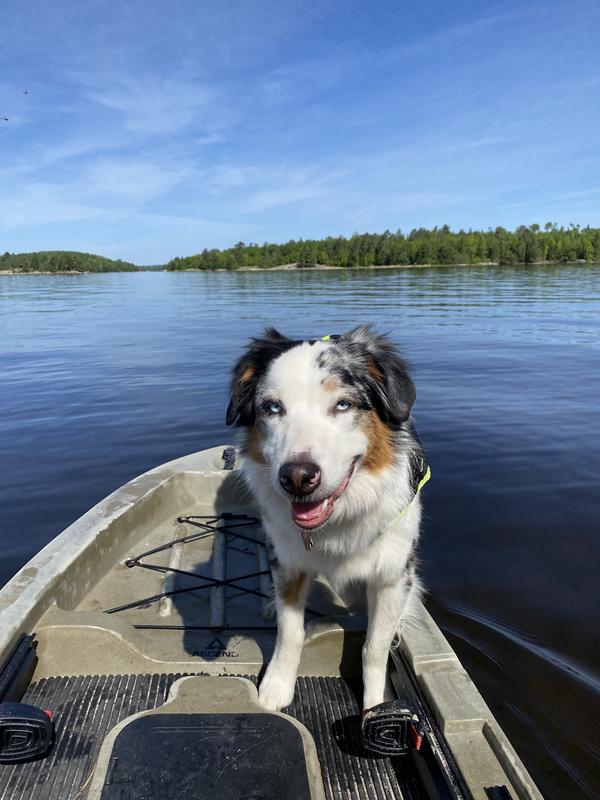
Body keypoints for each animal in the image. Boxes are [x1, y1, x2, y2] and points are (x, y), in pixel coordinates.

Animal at [225, 324, 426, 712]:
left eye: (343, 404)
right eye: (272, 408)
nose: (297, 477)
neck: (336, 523)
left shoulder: (393, 575)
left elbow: (374, 648)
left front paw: (376, 705)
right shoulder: (288, 560)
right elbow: (290, 632)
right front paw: (276, 687)